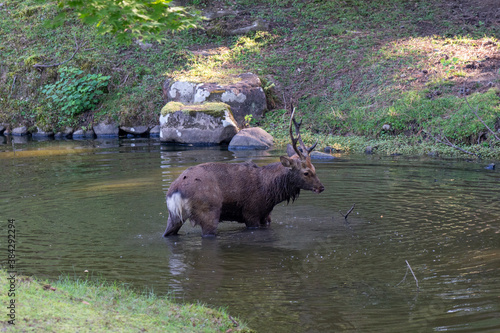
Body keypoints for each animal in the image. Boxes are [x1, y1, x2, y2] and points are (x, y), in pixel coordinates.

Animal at [163, 109, 324, 236]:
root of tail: (175, 191)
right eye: (306, 172)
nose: (321, 187)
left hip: (173, 216)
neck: (270, 191)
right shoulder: (251, 212)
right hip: (208, 212)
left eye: (315, 169)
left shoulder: (266, 214)